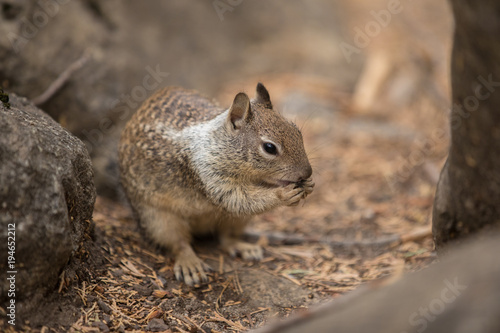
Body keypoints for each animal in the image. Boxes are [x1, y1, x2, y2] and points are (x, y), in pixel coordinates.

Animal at [118, 83, 312, 286]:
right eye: (269, 148)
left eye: (298, 132)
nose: (307, 172)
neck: (219, 145)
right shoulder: (209, 176)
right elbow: (239, 200)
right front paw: (282, 194)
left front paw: (308, 186)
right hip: (157, 220)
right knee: (178, 243)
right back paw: (190, 264)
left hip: (237, 220)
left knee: (226, 237)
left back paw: (243, 247)